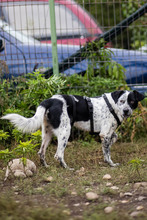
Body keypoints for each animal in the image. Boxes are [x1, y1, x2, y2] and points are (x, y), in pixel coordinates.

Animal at [1, 89, 145, 168]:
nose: (126, 111)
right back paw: (67, 168)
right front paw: (110, 164)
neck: (113, 105)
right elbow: (107, 152)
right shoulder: (104, 133)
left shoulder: (107, 133)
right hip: (65, 131)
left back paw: (46, 166)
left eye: (132, 102)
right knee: (58, 154)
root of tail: (50, 100)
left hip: (47, 133)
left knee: (41, 152)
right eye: (122, 101)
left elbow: (113, 139)